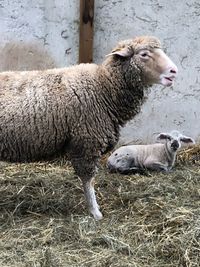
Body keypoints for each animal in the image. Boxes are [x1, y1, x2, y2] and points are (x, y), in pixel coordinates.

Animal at [0, 35, 178, 220]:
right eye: (144, 54)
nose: (174, 71)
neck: (103, 87)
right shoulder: (86, 142)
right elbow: (88, 180)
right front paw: (95, 211)